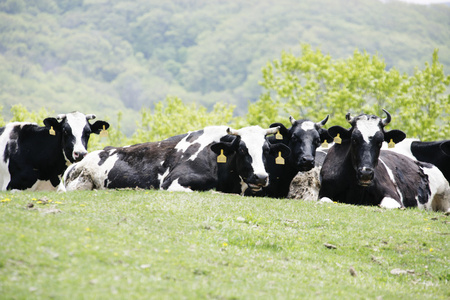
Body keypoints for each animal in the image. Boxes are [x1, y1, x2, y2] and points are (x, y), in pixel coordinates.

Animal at [318, 109, 450, 212]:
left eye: (380, 141)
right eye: (354, 139)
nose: (366, 173)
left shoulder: (393, 197)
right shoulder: (323, 194)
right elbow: (325, 201)